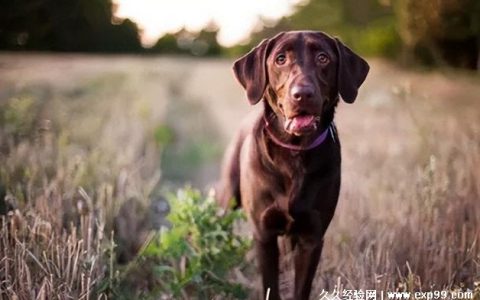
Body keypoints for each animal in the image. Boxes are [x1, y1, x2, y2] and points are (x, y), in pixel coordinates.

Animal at [218, 31, 368, 300]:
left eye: (323, 58)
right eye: (280, 59)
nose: (303, 94)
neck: (294, 154)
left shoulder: (312, 237)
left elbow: (301, 288)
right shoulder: (264, 234)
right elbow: (270, 285)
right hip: (228, 196)